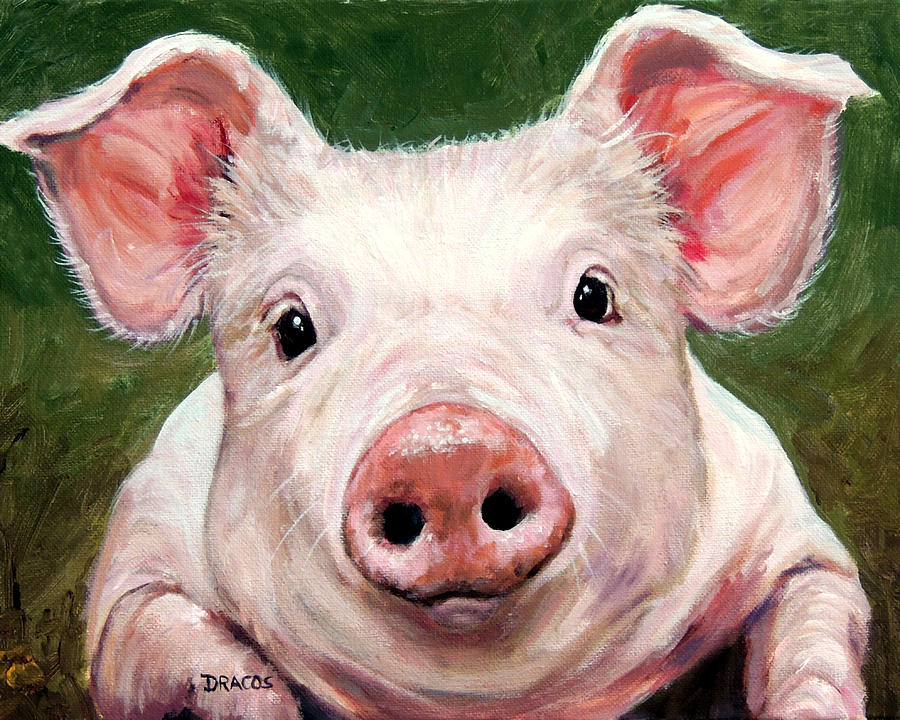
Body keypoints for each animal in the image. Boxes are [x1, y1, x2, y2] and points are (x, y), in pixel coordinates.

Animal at [0, 6, 875, 720]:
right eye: (292, 326)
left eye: (594, 294)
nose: (445, 445)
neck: (481, 701)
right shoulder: (136, 566)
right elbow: (170, 649)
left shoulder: (793, 530)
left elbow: (821, 621)